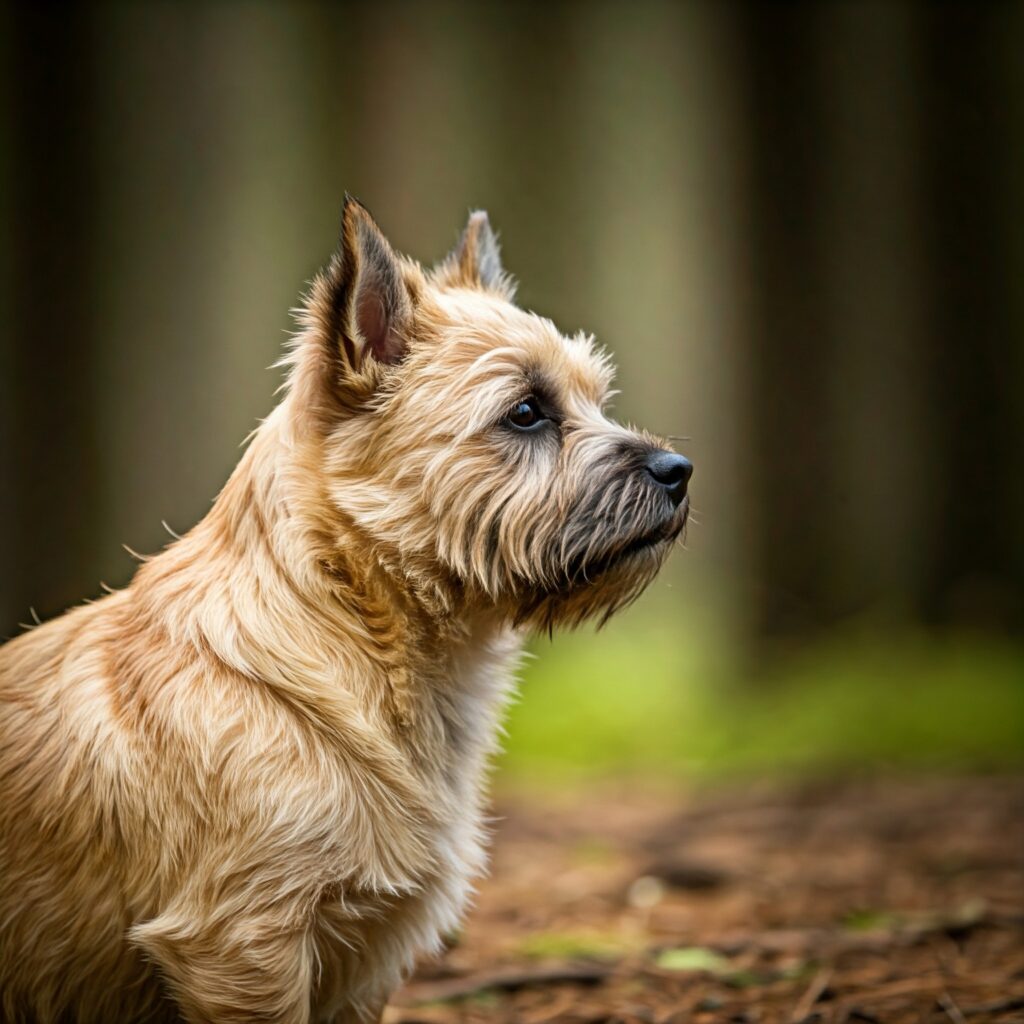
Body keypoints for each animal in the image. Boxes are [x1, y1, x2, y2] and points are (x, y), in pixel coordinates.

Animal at [0, 199, 688, 1024]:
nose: (680, 471)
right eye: (525, 412)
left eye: (596, 400)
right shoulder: (242, 945)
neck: (355, 631)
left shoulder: (363, 963)